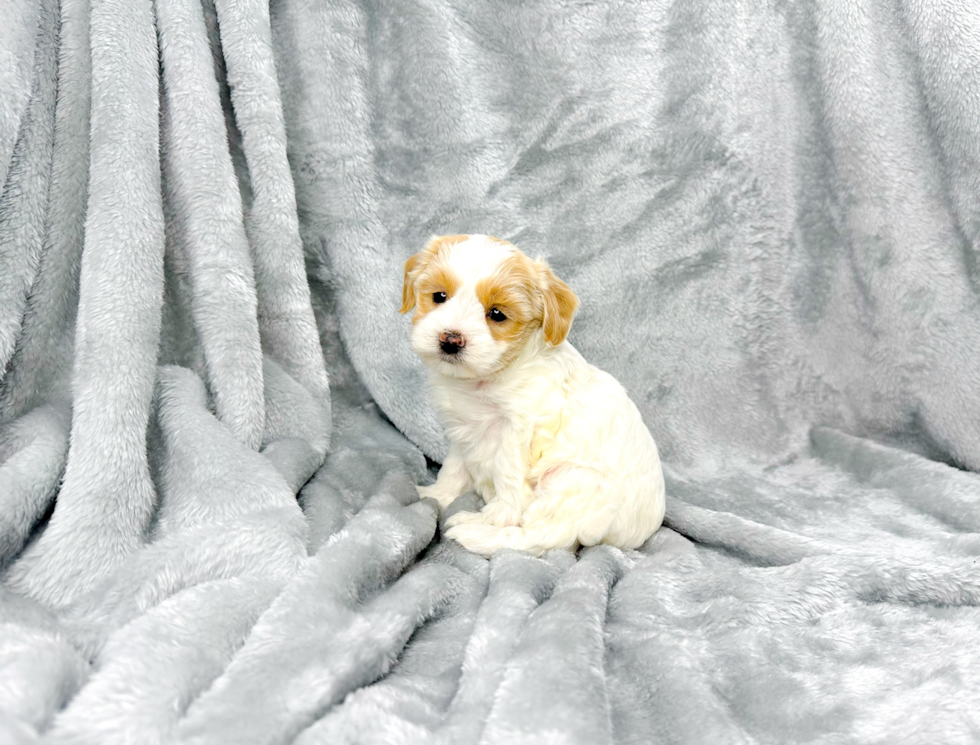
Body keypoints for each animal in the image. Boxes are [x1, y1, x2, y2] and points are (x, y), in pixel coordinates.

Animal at [398, 235, 668, 556]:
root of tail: (636, 535)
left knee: (542, 536)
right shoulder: (462, 432)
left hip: (569, 480)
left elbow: (507, 474)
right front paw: (437, 495)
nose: (450, 340)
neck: (487, 378)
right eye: (439, 296)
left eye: (497, 314)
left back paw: (475, 532)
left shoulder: (519, 430)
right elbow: (453, 468)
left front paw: (496, 516)